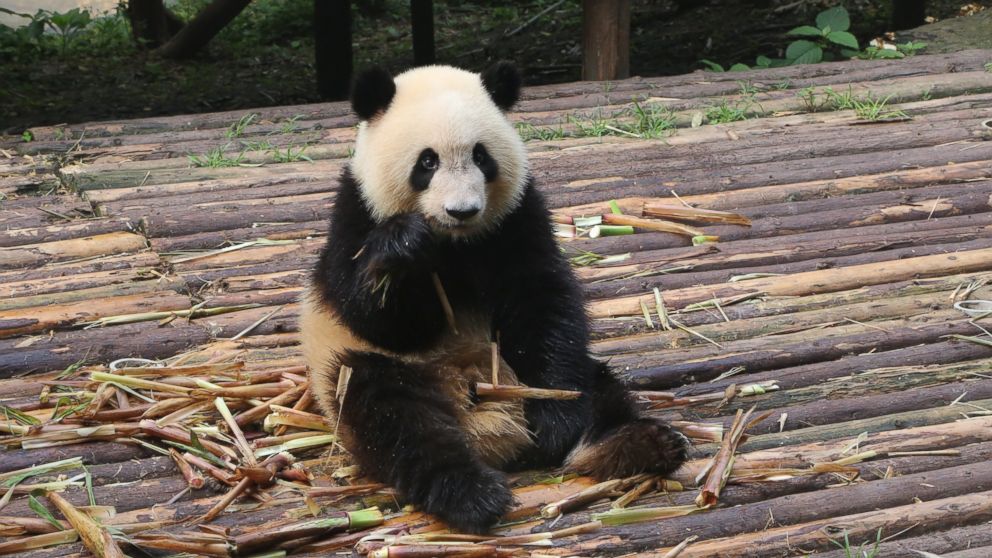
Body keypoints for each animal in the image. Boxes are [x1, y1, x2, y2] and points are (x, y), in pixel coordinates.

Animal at [300, 63, 688, 536]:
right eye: (427, 161)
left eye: (481, 157)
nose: (462, 211)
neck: (457, 243)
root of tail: (490, 435)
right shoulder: (355, 216)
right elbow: (378, 319)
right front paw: (405, 247)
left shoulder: (516, 219)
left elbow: (542, 303)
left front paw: (553, 422)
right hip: (366, 371)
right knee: (395, 420)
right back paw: (471, 494)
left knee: (595, 388)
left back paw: (640, 443)